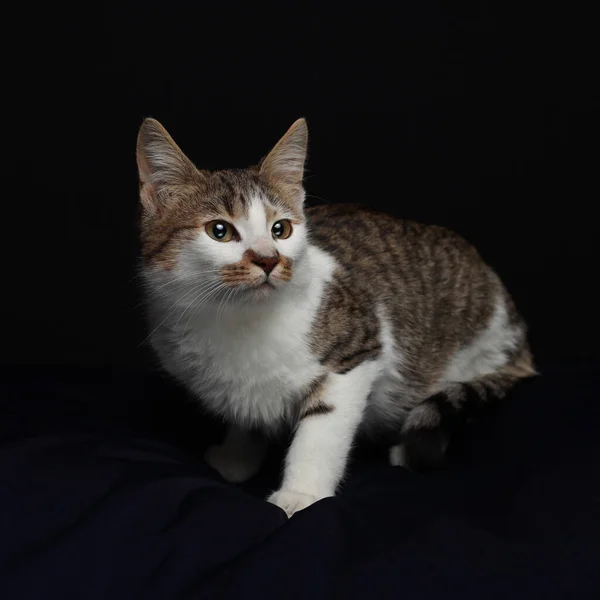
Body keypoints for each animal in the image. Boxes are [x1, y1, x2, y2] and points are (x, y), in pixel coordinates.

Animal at [138, 116, 536, 516]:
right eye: (219, 231)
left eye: (281, 229)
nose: (268, 260)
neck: (238, 319)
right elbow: (244, 413)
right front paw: (237, 456)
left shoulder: (356, 354)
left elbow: (322, 431)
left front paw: (301, 495)